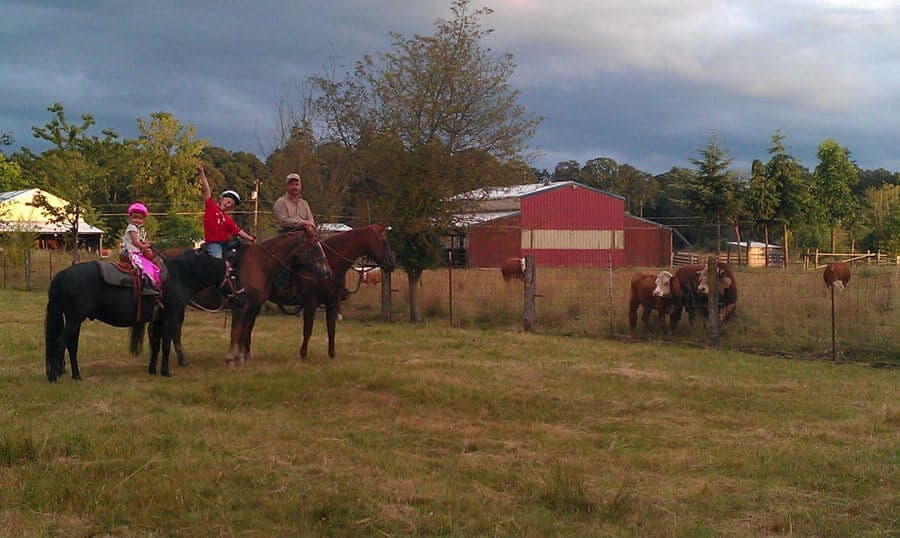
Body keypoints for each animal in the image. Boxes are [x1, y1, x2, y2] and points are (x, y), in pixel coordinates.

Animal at [45, 248, 229, 378]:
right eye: (232, 274)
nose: (234, 297)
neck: (180, 275)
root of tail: (63, 274)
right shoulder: (170, 317)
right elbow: (166, 344)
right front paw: (166, 372)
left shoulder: (158, 319)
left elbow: (156, 344)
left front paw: (153, 370)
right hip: (74, 320)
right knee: (60, 344)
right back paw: (53, 376)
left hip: (74, 320)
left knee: (71, 345)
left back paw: (76, 376)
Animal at [227, 230, 332, 364]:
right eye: (314, 247)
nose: (327, 271)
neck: (258, 264)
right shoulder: (241, 307)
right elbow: (236, 331)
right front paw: (231, 359)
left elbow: (244, 330)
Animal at [282, 224, 394, 358]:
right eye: (385, 243)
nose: (392, 263)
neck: (329, 266)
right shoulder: (311, 303)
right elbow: (308, 330)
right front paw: (303, 354)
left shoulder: (332, 303)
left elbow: (331, 329)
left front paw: (332, 355)